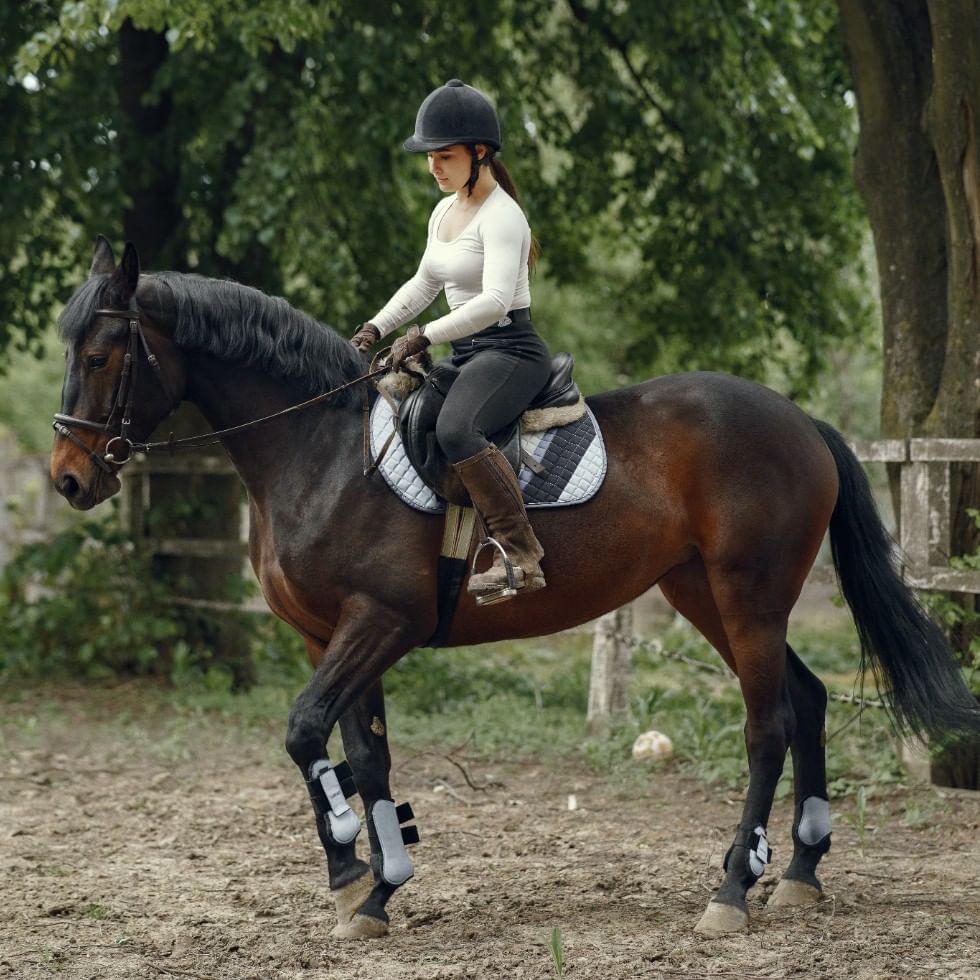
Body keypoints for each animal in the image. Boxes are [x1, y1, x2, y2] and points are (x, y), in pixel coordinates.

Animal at [49, 241, 976, 936]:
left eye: (99, 355)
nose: (67, 479)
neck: (321, 450)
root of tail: (799, 421)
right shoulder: (329, 636)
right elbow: (365, 755)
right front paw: (379, 888)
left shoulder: (380, 621)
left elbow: (306, 731)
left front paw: (349, 866)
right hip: (705, 596)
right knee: (808, 699)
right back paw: (800, 873)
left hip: (748, 595)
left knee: (767, 726)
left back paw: (730, 892)